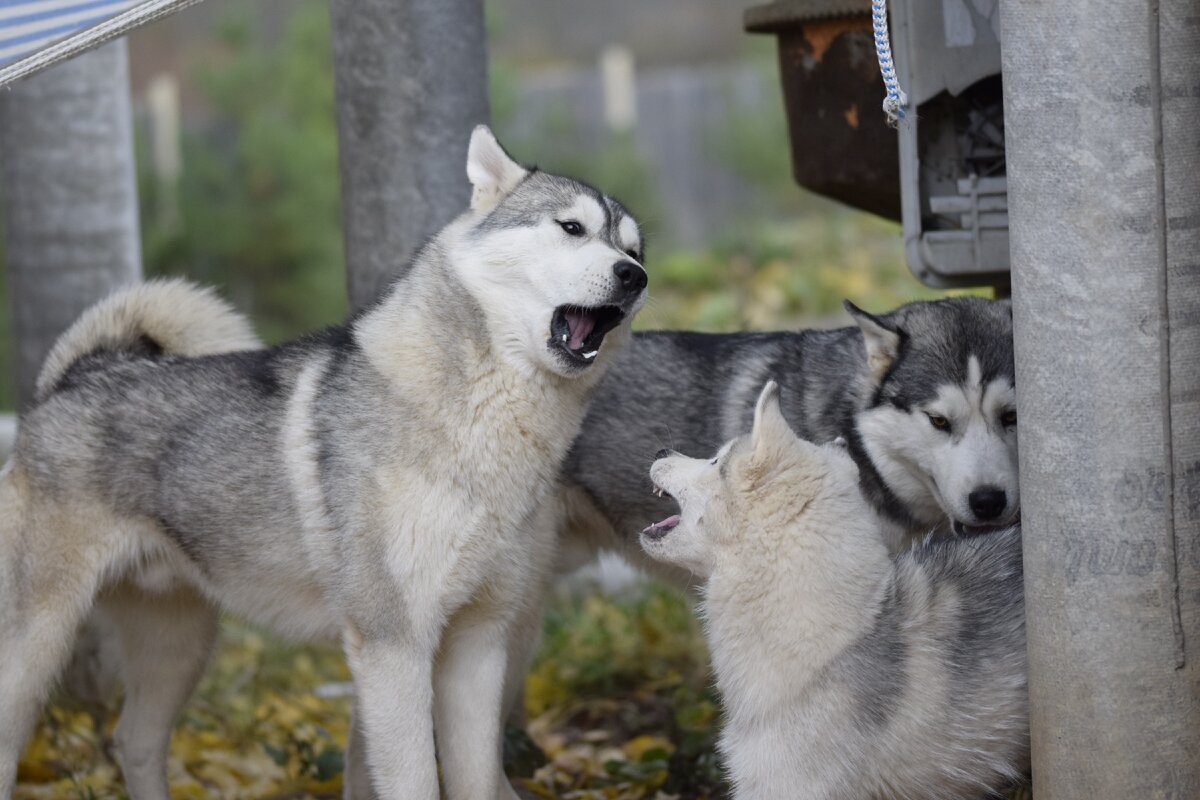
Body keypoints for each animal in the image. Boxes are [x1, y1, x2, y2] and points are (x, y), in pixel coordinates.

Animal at [0, 125, 648, 800]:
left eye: (633, 247)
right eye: (571, 228)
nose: (635, 277)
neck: (476, 423)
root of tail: (77, 376)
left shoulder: (478, 648)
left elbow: (476, 778)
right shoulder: (394, 648)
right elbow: (417, 780)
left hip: (178, 643)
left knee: (134, 740)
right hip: (37, 646)